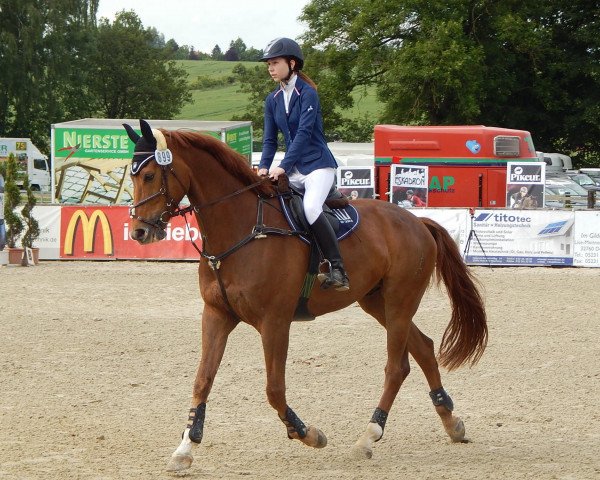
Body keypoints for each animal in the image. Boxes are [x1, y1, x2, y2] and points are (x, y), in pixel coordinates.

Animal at [124, 120, 486, 472]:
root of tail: (418, 221)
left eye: (149, 175)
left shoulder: (274, 322)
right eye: (133, 175)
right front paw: (184, 449)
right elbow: (202, 380)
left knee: (396, 367)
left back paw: (369, 436)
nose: (138, 232)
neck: (241, 228)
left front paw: (307, 433)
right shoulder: (216, 315)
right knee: (423, 348)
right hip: (377, 303)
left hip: (399, 302)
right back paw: (452, 423)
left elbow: (274, 389)